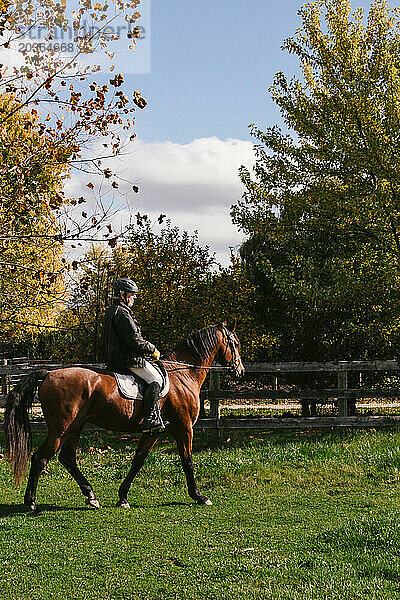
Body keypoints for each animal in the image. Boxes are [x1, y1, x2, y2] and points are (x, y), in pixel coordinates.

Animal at [3, 322, 244, 512]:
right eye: (235, 343)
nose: (240, 371)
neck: (183, 375)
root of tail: (48, 374)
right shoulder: (184, 428)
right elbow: (188, 461)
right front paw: (199, 496)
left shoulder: (154, 432)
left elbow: (138, 461)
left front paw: (123, 497)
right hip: (60, 429)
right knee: (40, 458)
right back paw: (31, 502)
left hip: (75, 426)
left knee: (67, 458)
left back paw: (91, 496)